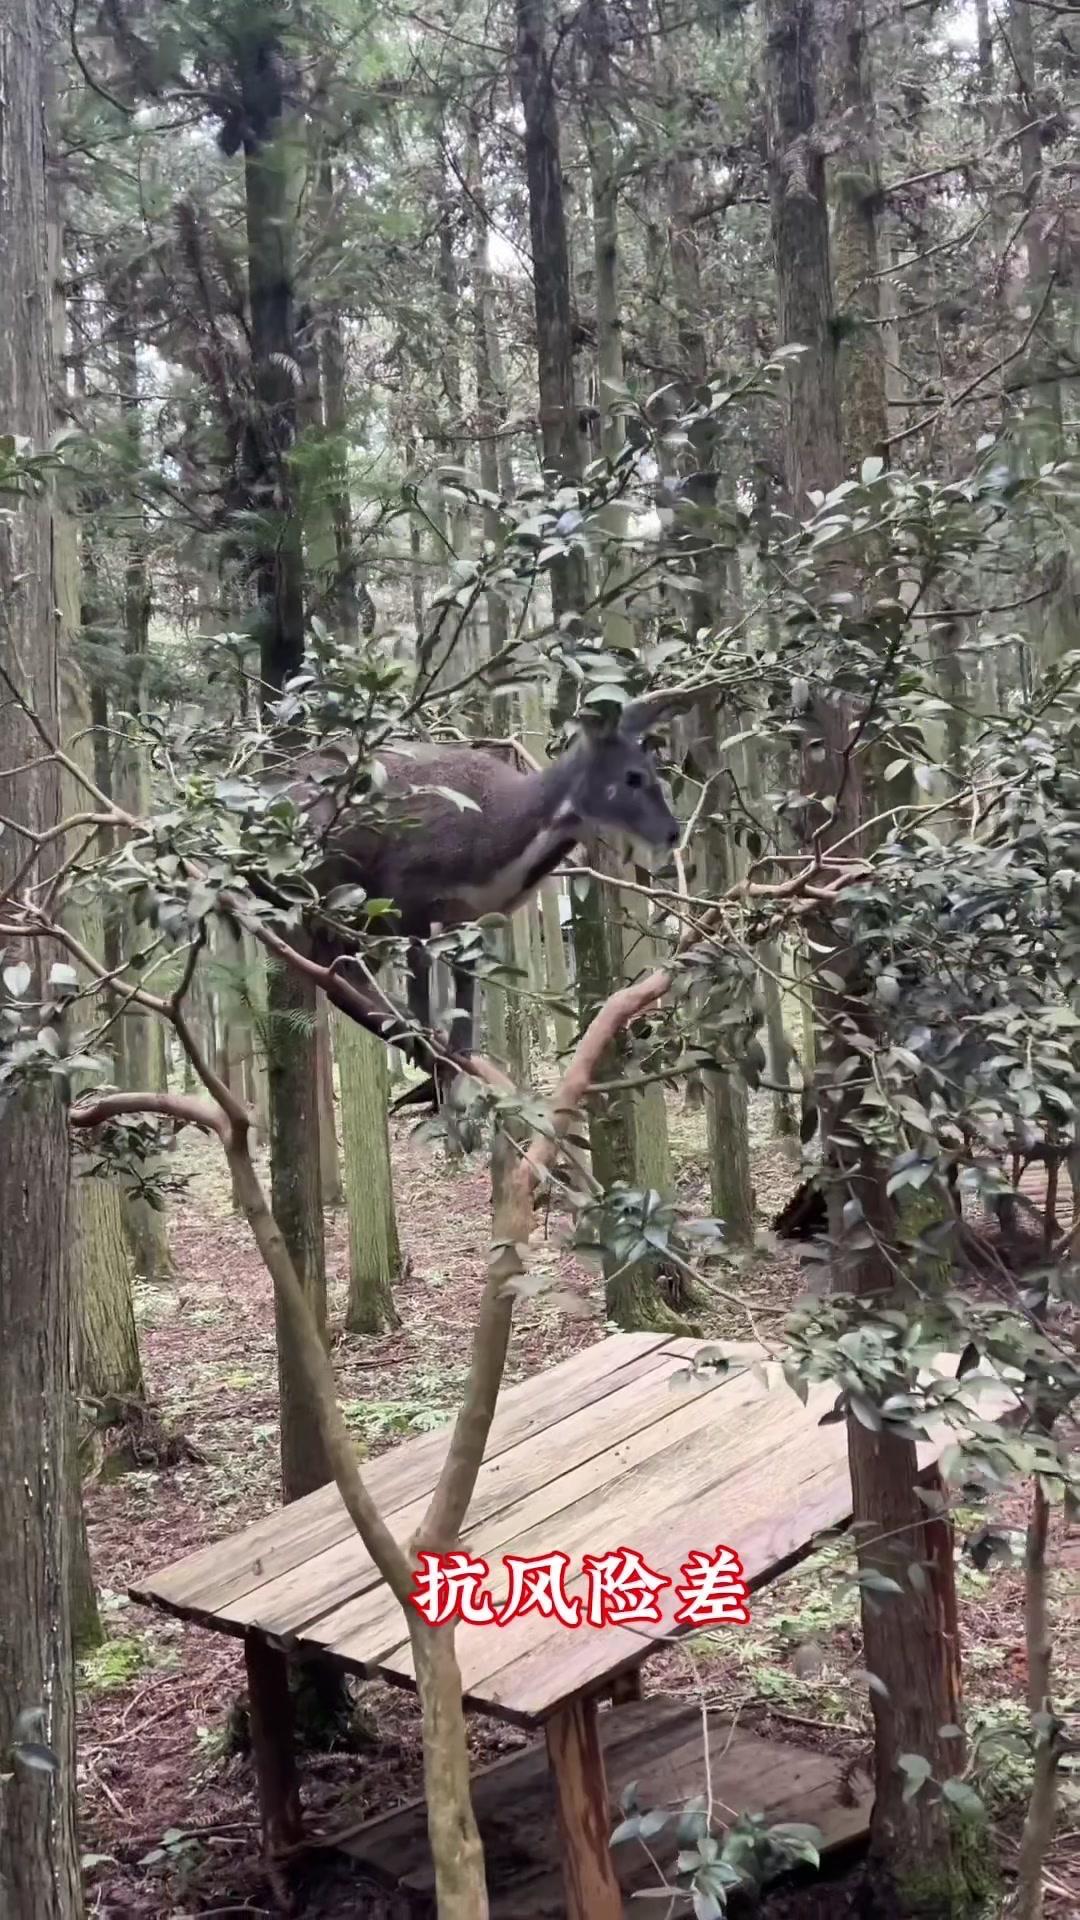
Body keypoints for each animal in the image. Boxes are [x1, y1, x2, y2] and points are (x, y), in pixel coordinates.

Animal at [261, 690, 690, 1105]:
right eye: (633, 777)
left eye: (653, 772)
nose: (673, 833)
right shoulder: (406, 888)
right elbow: (419, 969)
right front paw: (423, 1041)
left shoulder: (473, 913)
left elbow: (466, 982)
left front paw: (461, 1054)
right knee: (331, 961)